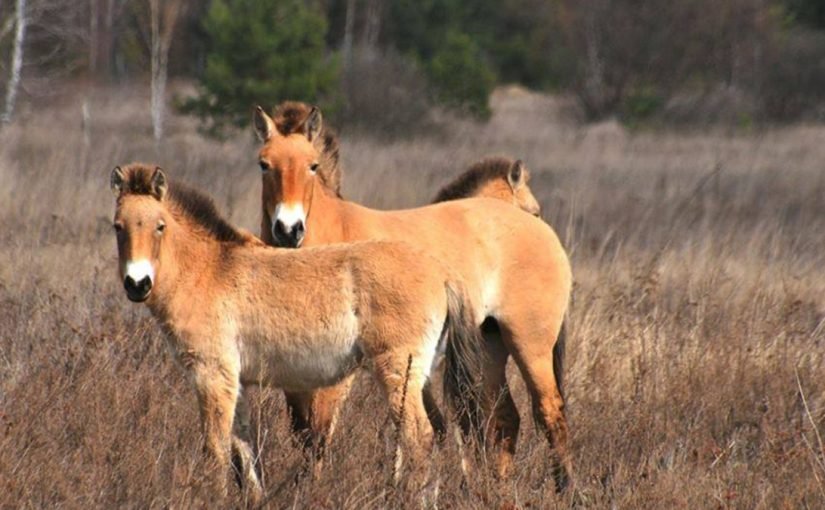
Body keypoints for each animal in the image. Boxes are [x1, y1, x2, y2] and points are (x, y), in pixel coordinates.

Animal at [251, 104, 572, 490]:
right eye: (264, 164)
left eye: (312, 165)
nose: (287, 230)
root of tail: (547, 237)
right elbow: (305, 433)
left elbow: (320, 433)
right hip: (490, 347)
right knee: (505, 420)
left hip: (529, 346)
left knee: (550, 413)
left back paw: (565, 491)